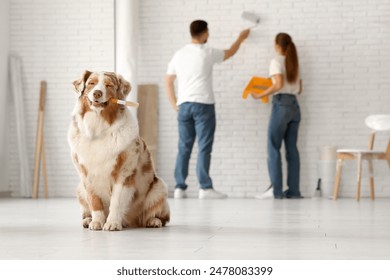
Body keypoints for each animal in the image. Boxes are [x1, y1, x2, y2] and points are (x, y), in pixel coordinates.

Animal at [66, 70, 169, 230]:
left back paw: (153, 221)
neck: (98, 127)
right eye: (91, 83)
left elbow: (116, 202)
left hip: (159, 187)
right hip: (79, 189)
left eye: (108, 85)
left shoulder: (123, 174)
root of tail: (131, 222)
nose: (97, 93)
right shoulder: (87, 175)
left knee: (160, 216)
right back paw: (87, 220)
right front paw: (97, 222)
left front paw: (112, 223)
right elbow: (95, 202)